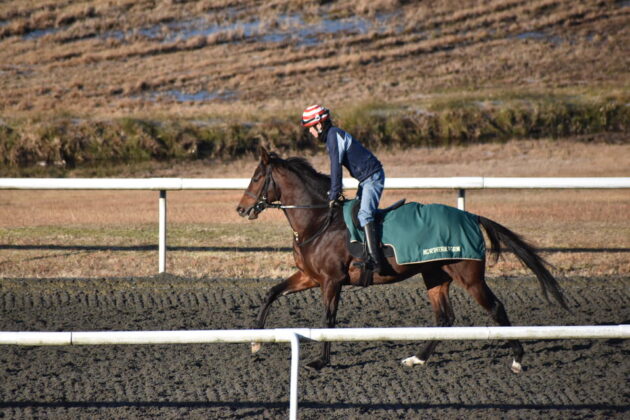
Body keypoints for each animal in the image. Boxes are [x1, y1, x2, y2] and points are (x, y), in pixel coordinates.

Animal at [236, 148, 568, 374]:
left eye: (256, 177)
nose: (241, 209)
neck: (318, 221)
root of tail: (471, 216)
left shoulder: (332, 280)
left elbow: (328, 319)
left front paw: (320, 361)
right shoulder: (310, 276)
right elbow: (271, 293)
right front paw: (255, 342)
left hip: (470, 276)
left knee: (496, 308)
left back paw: (517, 359)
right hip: (435, 275)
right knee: (444, 318)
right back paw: (417, 358)